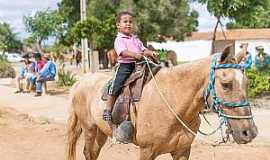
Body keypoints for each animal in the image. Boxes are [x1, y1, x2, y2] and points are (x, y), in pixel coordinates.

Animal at [67, 45, 258, 160]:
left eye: (247, 83)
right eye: (226, 84)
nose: (249, 132)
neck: (173, 104)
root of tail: (80, 82)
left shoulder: (182, 151)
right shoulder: (147, 151)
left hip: (101, 131)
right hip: (89, 129)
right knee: (87, 152)